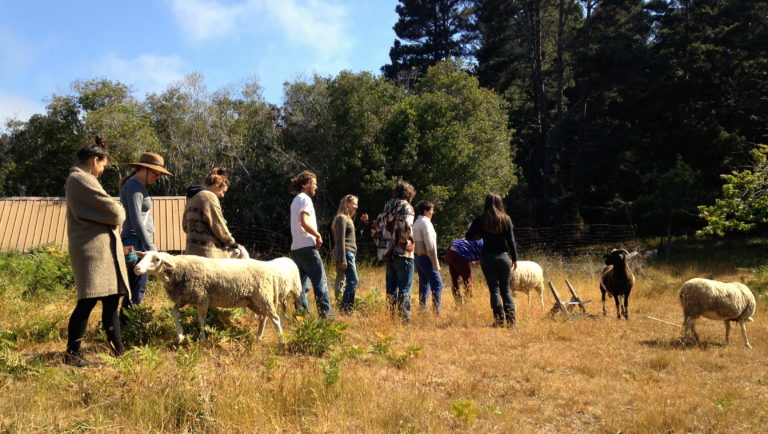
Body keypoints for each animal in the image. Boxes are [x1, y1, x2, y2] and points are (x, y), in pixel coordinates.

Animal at [132, 253, 300, 344]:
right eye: (144, 256)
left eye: (157, 259)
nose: (137, 268)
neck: (179, 270)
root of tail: (270, 270)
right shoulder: (184, 298)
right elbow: (174, 312)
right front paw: (180, 335)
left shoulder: (201, 299)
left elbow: (201, 321)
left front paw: (203, 339)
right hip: (252, 300)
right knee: (263, 316)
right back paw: (258, 336)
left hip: (263, 296)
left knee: (275, 318)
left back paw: (281, 341)